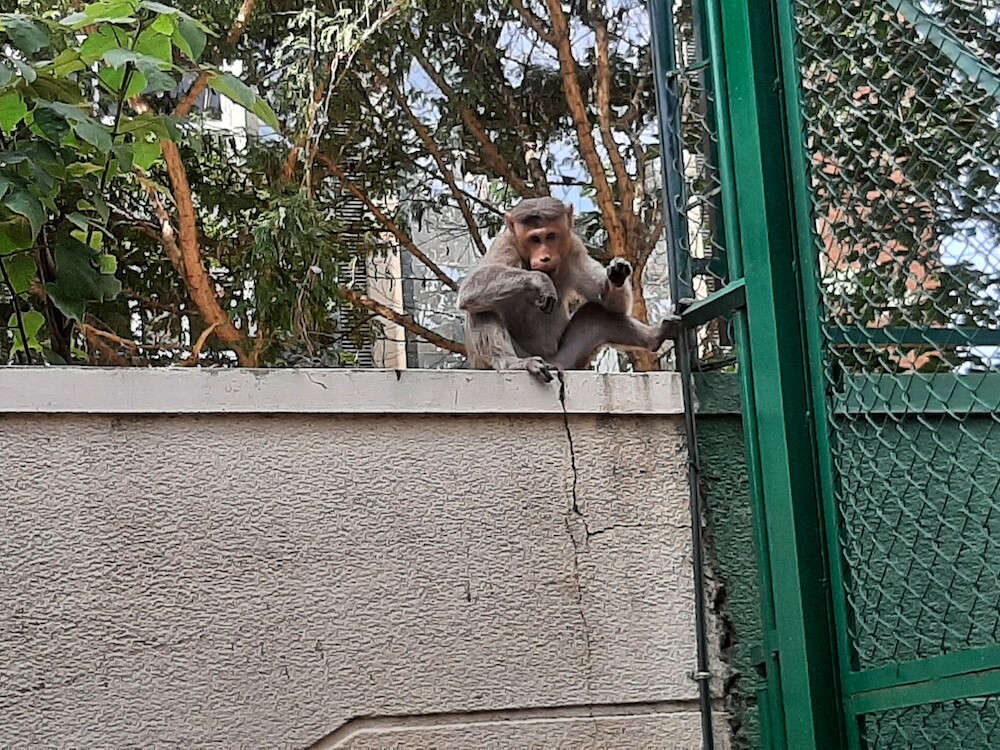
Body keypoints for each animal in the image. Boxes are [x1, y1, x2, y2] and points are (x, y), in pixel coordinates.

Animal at [457, 197, 681, 383]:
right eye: (534, 239)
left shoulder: (574, 247)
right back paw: (515, 363)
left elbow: (610, 305)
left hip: (567, 359)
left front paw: (617, 274)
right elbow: (471, 288)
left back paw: (656, 336)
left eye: (550, 236)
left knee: (595, 313)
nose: (544, 257)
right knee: (480, 309)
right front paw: (541, 280)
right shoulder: (505, 244)